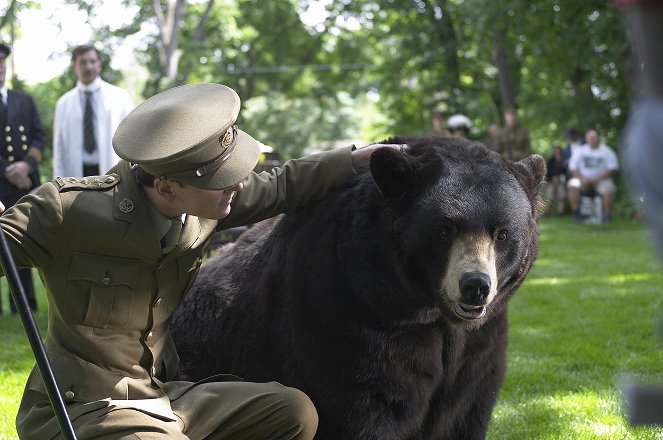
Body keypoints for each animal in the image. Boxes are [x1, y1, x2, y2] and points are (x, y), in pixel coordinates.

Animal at [171, 138, 544, 440]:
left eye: (502, 233)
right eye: (444, 229)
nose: (475, 286)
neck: (427, 311)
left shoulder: (480, 345)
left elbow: (466, 409)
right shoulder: (346, 316)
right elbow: (364, 407)